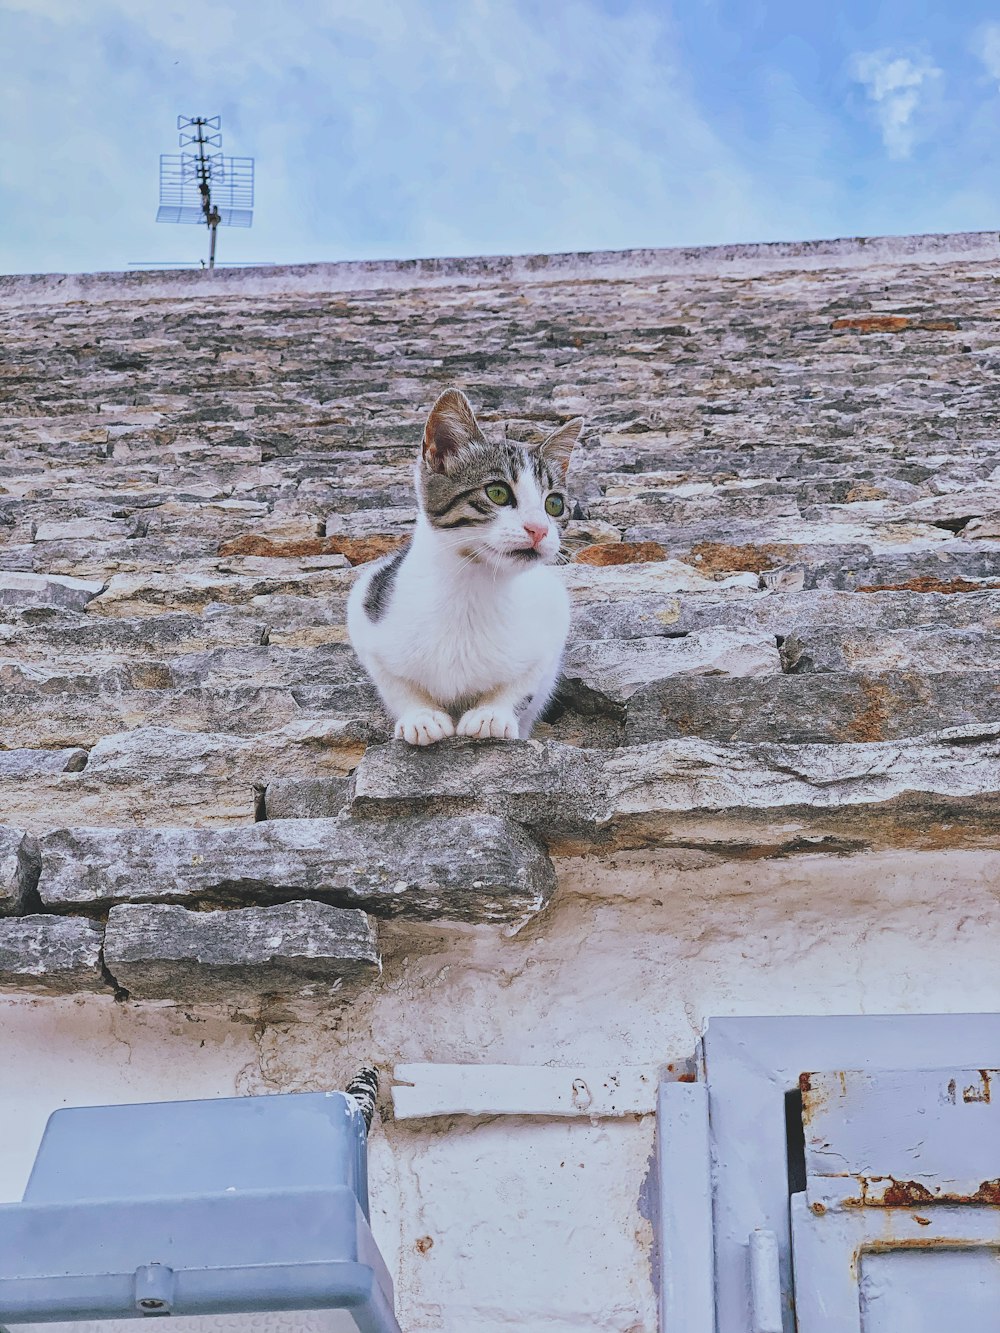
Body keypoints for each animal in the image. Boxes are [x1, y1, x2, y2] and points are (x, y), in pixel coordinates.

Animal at [349, 386, 586, 746]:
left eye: (554, 504)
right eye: (498, 492)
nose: (539, 529)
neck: (472, 588)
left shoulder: (551, 625)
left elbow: (523, 684)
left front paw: (492, 714)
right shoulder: (366, 609)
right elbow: (395, 684)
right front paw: (422, 717)